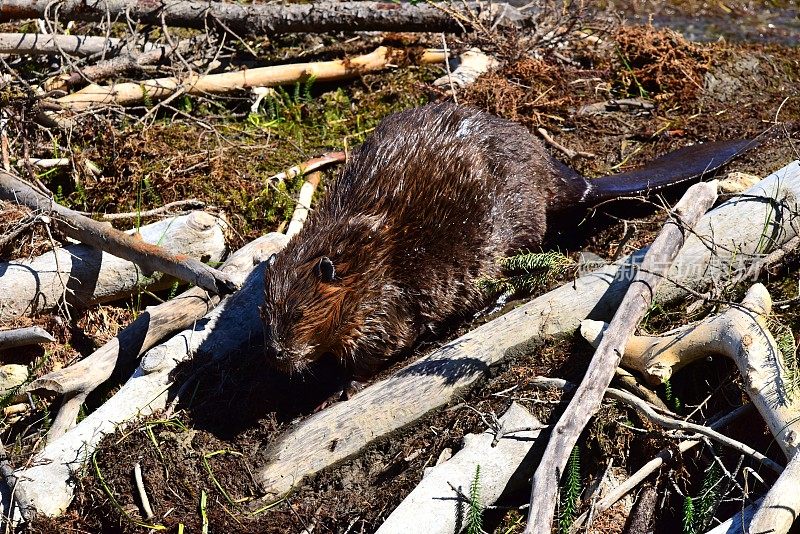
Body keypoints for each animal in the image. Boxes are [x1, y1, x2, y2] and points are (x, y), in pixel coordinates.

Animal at [260, 101, 752, 376]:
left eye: (297, 313)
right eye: (267, 316)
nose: (279, 359)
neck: (359, 250)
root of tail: (570, 182)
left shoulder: (385, 297)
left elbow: (380, 346)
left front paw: (335, 387)